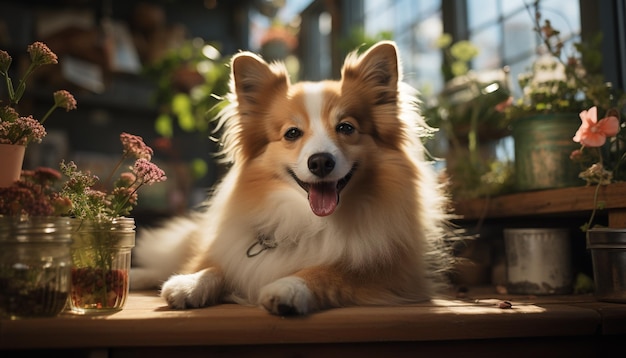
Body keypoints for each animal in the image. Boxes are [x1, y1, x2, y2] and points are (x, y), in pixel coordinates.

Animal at [132, 42, 450, 314]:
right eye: (292, 133)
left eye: (346, 127)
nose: (320, 161)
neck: (308, 221)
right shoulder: (228, 248)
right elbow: (214, 264)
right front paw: (191, 282)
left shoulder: (392, 275)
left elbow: (329, 271)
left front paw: (288, 287)